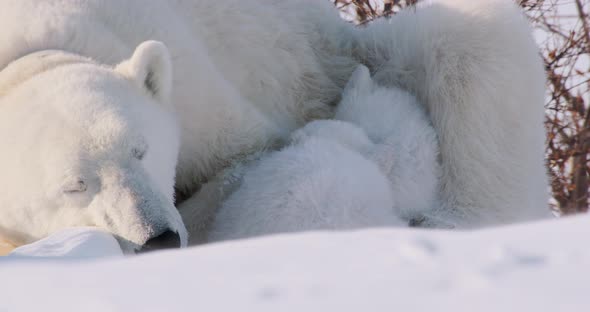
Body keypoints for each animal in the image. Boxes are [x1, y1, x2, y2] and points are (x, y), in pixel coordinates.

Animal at [0, 0, 552, 249]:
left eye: (143, 150)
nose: (158, 238)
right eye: (74, 184)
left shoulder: (190, 77)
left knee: (468, 47)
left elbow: (242, 157)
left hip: (335, 53)